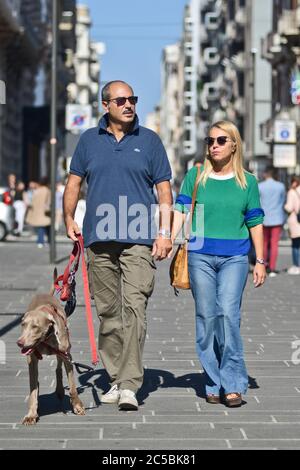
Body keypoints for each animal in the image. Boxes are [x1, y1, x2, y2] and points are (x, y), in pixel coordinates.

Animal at [17, 268, 85, 426]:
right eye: (23, 324)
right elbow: (32, 389)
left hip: (63, 351)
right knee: (37, 380)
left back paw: (60, 389)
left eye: (35, 326)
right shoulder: (32, 359)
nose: (20, 343)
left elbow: (72, 386)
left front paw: (77, 406)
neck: (45, 340)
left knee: (58, 368)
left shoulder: (67, 356)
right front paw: (31, 415)